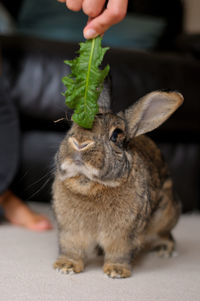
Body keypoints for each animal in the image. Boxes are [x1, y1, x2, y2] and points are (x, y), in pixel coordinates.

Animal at [52, 88, 184, 278]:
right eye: (72, 126)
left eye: (115, 135)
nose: (80, 143)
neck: (90, 186)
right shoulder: (69, 230)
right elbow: (71, 248)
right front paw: (65, 266)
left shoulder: (124, 234)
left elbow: (119, 252)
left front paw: (116, 271)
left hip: (165, 216)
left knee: (166, 235)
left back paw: (165, 250)